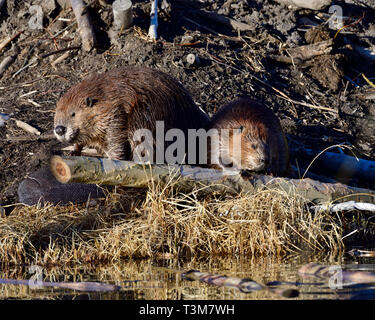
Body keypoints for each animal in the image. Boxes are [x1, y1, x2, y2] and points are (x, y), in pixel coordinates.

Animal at [53, 65, 212, 162]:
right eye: (56, 114)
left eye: (73, 114)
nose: (59, 129)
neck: (104, 98)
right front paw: (73, 151)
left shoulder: (115, 115)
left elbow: (116, 142)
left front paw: (114, 159)